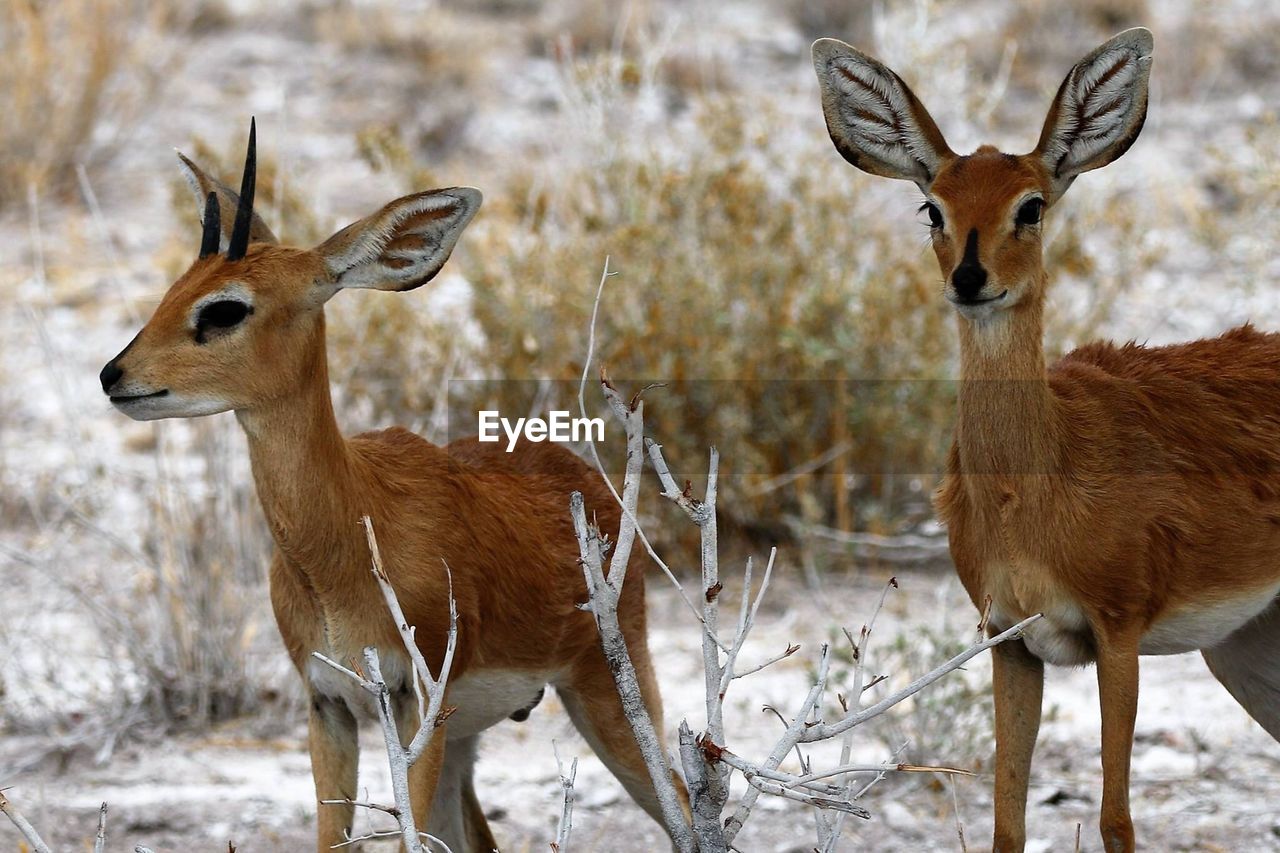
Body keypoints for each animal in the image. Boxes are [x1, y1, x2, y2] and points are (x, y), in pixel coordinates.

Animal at [101, 121, 691, 850]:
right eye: (175, 288)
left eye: (225, 309)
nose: (115, 375)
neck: (340, 544)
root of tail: (583, 477)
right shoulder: (327, 704)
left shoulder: (415, 702)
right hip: (465, 740)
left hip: (604, 690)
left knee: (687, 810)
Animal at [814, 26, 1274, 850]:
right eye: (932, 207)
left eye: (1030, 205)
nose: (970, 279)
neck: (1040, 480)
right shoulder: (1010, 640)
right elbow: (1007, 819)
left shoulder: (1117, 635)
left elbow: (1116, 818)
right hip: (1247, 645)